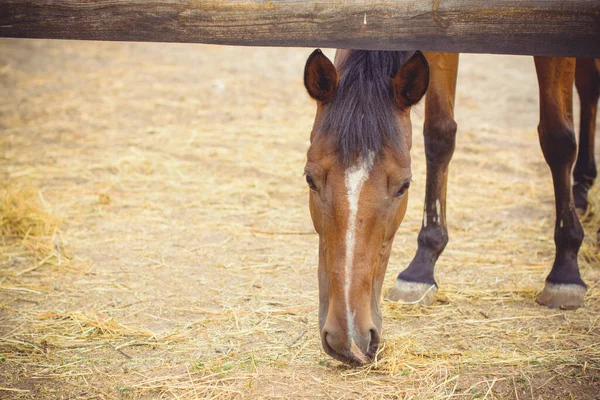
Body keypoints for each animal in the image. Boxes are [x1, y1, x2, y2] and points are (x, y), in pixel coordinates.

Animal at [386, 54, 596, 310]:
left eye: (403, 187)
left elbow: (558, 138)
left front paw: (565, 271)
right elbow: (439, 133)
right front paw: (421, 267)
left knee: (588, 87)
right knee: (588, 86)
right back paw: (582, 188)